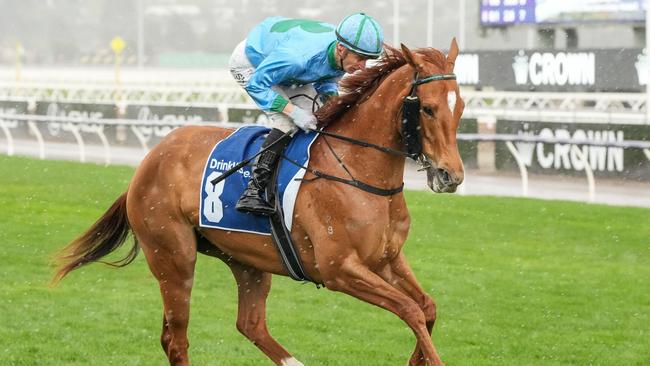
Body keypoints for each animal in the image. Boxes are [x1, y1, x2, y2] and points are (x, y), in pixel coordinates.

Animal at [53, 40, 464, 366]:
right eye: (427, 108)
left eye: (459, 107)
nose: (452, 176)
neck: (357, 171)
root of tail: (148, 161)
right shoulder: (340, 269)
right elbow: (410, 309)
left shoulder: (386, 259)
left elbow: (426, 307)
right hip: (173, 256)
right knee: (176, 338)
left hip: (245, 260)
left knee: (249, 324)